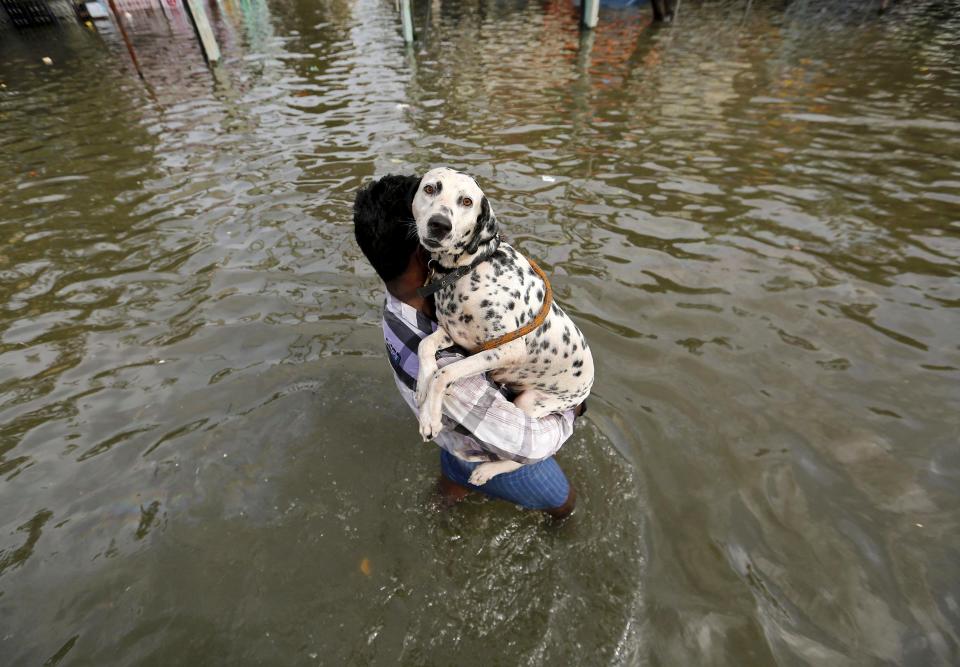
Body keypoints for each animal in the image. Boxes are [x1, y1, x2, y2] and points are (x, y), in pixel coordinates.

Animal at [412, 170, 592, 486]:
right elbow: (424, 347)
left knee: (527, 456)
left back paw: (486, 470)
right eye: (431, 188)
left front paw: (430, 418)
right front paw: (422, 388)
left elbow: (444, 373)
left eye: (467, 201)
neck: (469, 269)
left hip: (530, 402)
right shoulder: (453, 333)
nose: (440, 224)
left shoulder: (505, 350)